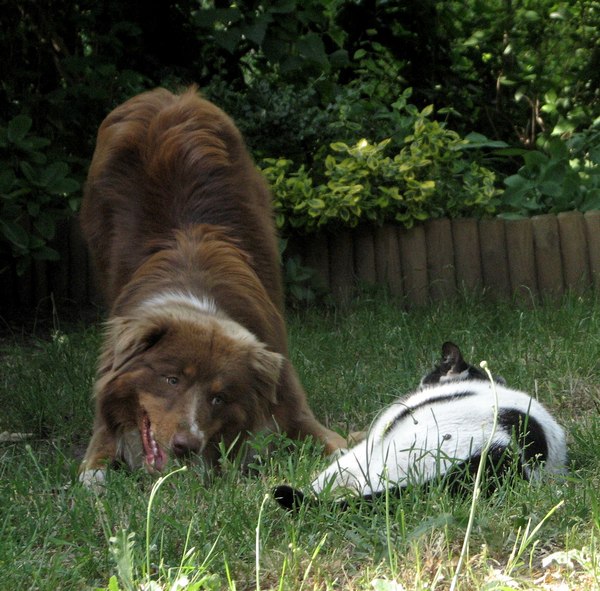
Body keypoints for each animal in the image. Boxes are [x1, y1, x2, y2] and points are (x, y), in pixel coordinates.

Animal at [78, 86, 346, 486]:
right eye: (171, 379)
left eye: (219, 397)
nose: (185, 445)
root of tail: (170, 96)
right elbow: (99, 444)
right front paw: (93, 474)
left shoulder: (288, 397)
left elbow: (327, 436)